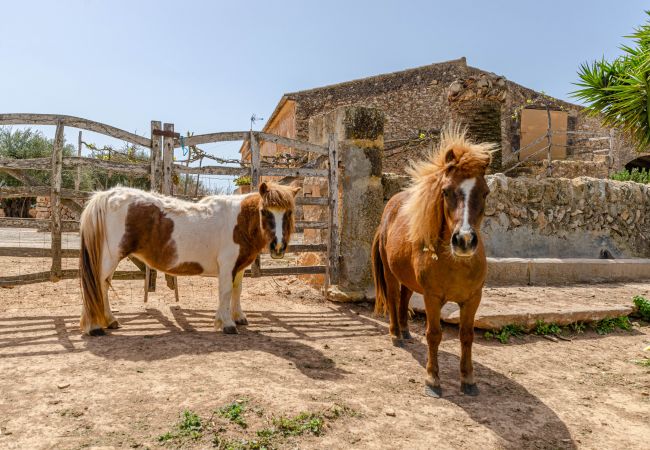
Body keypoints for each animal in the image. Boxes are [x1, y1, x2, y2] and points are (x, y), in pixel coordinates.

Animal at [78, 182, 298, 334]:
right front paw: (227, 323)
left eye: (289, 213)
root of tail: (106, 196)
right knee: (97, 285)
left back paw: (110, 321)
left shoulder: (239, 267)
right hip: (109, 258)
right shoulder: (227, 266)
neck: (238, 221)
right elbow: (226, 292)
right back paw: (95, 327)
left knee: (103, 286)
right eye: (265, 212)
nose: (278, 247)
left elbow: (237, 291)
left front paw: (239, 317)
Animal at [372, 126, 494, 398]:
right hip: (390, 275)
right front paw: (432, 379)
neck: (456, 265)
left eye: (485, 193)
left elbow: (467, 336)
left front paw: (468, 379)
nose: (464, 240)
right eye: (446, 191)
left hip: (407, 278)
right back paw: (396, 334)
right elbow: (434, 335)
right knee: (394, 299)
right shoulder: (432, 297)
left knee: (404, 299)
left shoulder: (473, 299)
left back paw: (406, 331)